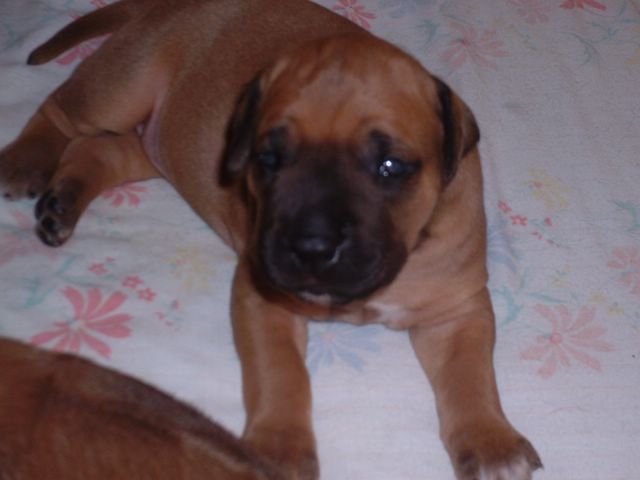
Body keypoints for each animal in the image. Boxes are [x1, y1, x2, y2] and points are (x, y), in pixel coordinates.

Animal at [0, 0, 542, 479]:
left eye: (390, 166)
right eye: (268, 158)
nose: (312, 248)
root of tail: (168, 6)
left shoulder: (457, 312)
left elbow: (471, 377)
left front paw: (492, 444)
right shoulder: (263, 300)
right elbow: (281, 374)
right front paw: (279, 449)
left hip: (159, 143)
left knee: (101, 151)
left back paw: (63, 200)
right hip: (122, 85)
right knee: (61, 113)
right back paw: (26, 160)